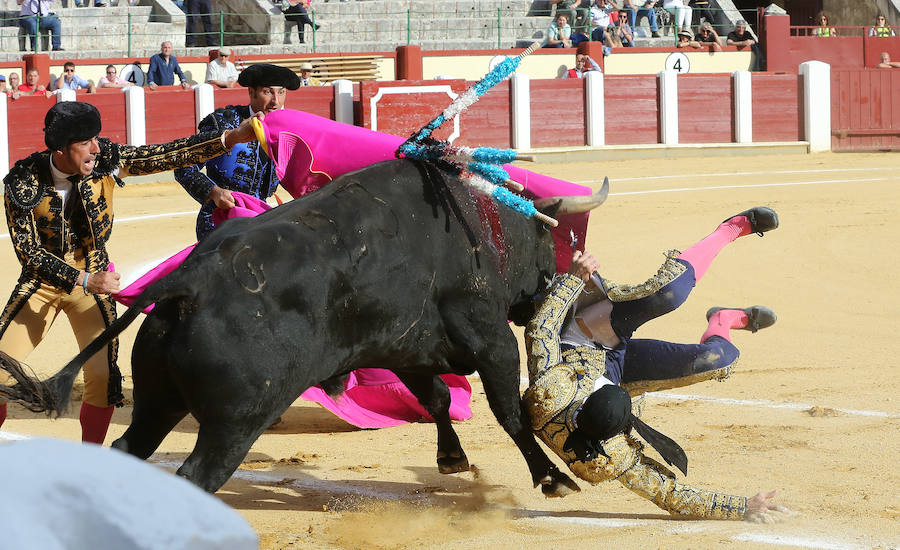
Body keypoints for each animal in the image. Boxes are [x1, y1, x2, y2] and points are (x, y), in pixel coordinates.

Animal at [0, 160, 584, 496]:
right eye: (548, 240)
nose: (541, 295)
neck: (480, 225)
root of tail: (187, 282)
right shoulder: (490, 340)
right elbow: (511, 411)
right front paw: (553, 478)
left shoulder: (407, 348)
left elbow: (437, 398)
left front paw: (452, 459)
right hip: (238, 419)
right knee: (198, 475)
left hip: (158, 398)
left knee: (130, 448)